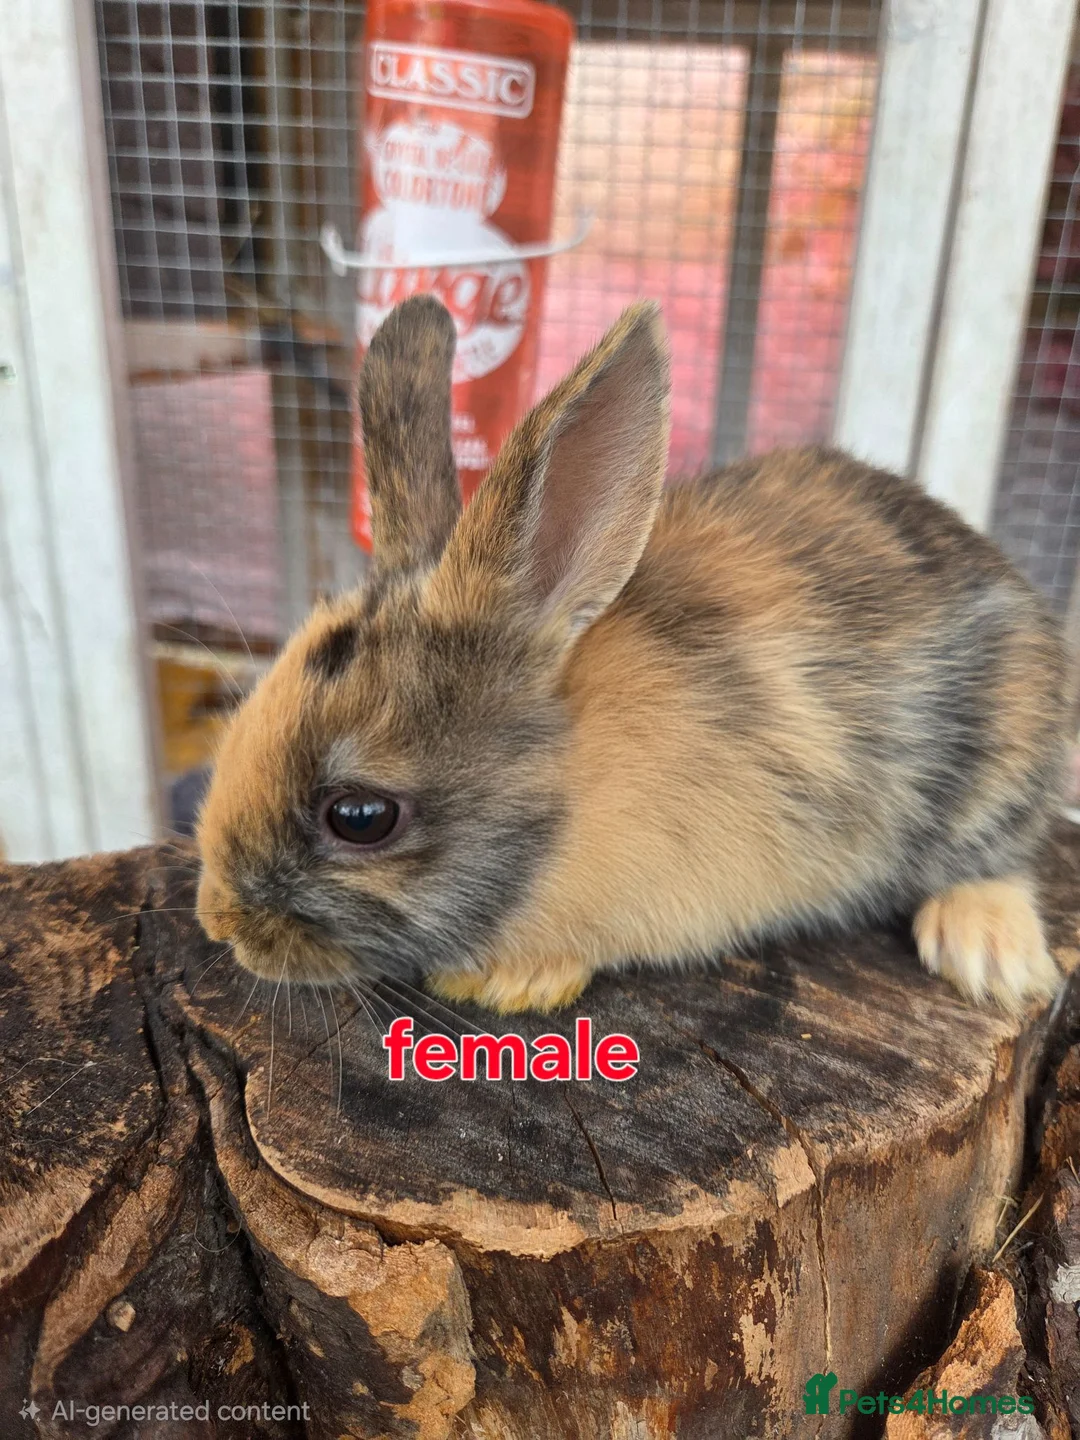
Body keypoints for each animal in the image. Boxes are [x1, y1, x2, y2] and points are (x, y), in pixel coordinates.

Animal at [196, 294, 1066, 1016]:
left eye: (359, 817)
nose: (221, 925)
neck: (574, 782)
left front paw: (511, 982)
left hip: (998, 764)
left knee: (1001, 856)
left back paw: (991, 957)